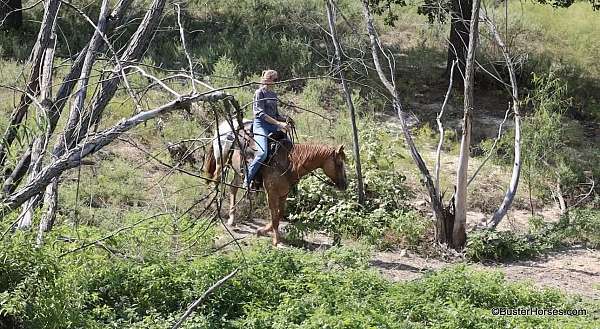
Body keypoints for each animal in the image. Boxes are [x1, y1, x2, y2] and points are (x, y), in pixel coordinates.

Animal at [204, 119, 350, 245]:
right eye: (339, 163)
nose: (345, 185)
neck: (289, 161)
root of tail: (223, 124)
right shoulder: (271, 192)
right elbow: (274, 215)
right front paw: (276, 240)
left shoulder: (284, 192)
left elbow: (279, 213)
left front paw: (263, 230)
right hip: (220, 161)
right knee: (215, 181)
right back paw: (211, 208)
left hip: (238, 171)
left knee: (233, 189)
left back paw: (231, 219)